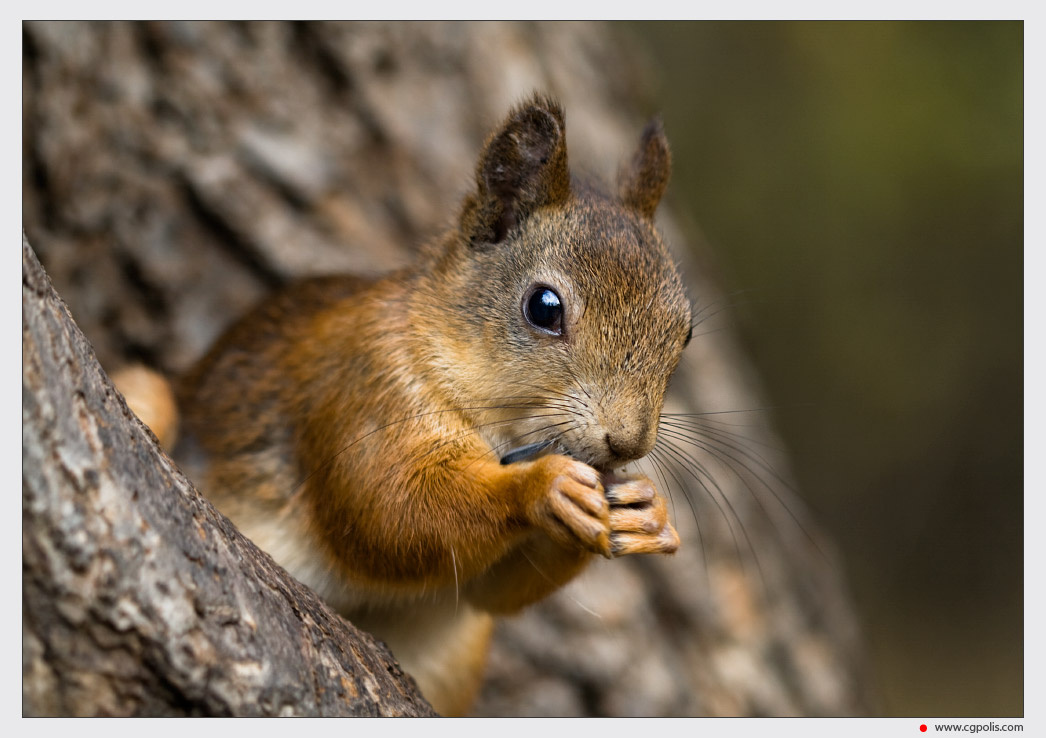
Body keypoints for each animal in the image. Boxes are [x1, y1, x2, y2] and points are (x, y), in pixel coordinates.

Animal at [118, 95, 693, 716]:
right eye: (544, 307)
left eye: (684, 334)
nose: (628, 442)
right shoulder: (364, 389)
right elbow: (389, 510)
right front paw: (542, 487)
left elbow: (493, 591)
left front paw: (648, 510)